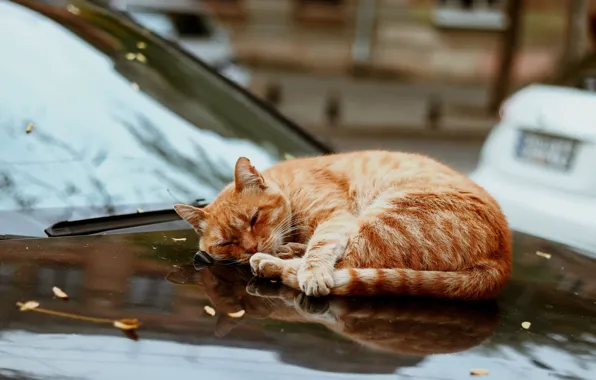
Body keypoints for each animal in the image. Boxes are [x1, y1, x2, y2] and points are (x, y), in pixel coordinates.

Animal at [173, 150, 512, 302]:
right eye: (226, 243)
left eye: (254, 218)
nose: (251, 246)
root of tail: (502, 257)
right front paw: (290, 247)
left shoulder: (336, 217)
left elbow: (321, 248)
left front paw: (307, 265)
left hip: (386, 218)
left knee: (345, 266)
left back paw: (271, 262)